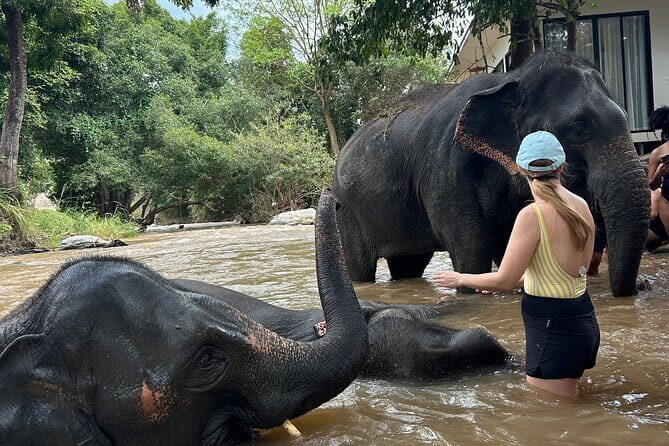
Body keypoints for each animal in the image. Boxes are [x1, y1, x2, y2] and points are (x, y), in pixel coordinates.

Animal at [332, 51, 650, 297]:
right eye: (579, 128)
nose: (640, 286)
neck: (508, 80)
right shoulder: (444, 172)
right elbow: (472, 249)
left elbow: (511, 245)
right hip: (347, 212)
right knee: (361, 266)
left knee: (409, 264)